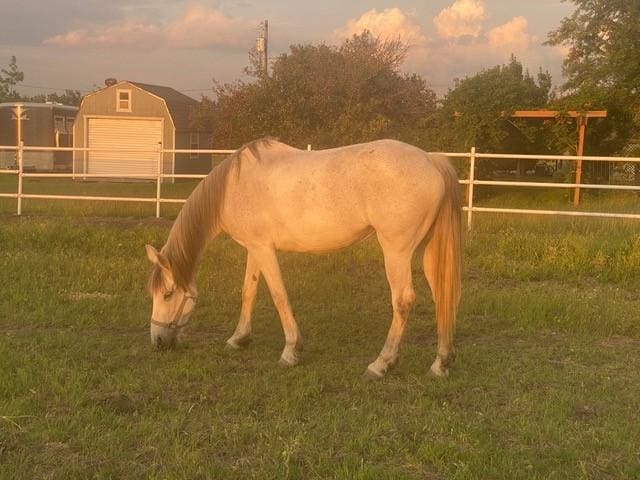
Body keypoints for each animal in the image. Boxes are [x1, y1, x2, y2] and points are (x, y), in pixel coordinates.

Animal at [146, 139, 460, 378]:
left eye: (168, 294)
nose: (158, 341)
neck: (233, 187)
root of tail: (431, 160)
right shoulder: (255, 248)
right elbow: (248, 292)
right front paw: (239, 338)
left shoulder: (264, 249)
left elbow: (278, 295)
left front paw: (290, 351)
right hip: (428, 251)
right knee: (441, 295)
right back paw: (440, 364)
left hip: (396, 251)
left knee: (403, 301)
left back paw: (381, 364)